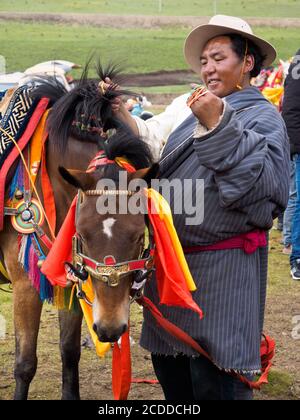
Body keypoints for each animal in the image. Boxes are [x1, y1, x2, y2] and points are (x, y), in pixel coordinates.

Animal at [0, 64, 155, 398]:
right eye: (83, 235)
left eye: (139, 236)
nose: (110, 329)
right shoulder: (25, 285)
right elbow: (25, 364)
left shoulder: (71, 279)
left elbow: (69, 351)